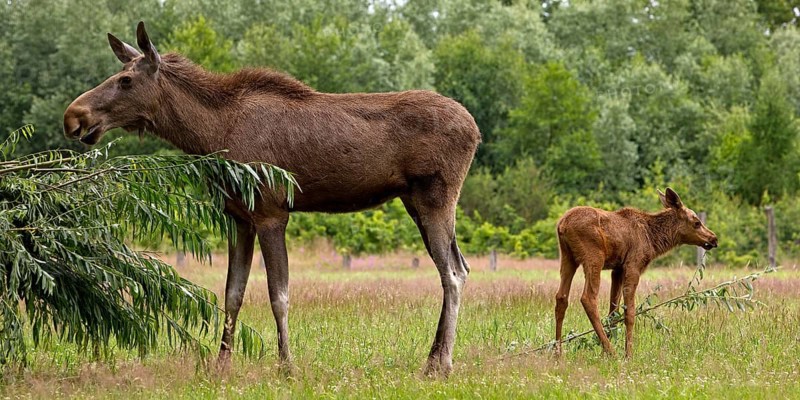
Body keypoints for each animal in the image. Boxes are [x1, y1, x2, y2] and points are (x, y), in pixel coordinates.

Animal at [63, 22, 480, 376]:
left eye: (126, 80)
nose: (73, 116)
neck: (210, 136)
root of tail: (475, 130)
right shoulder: (238, 217)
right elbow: (232, 293)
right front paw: (220, 365)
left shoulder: (271, 213)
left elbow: (278, 294)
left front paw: (286, 366)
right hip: (415, 201)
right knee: (460, 267)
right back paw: (433, 358)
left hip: (436, 197)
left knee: (452, 273)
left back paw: (441, 364)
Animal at [554, 188, 718, 357]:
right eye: (696, 222)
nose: (714, 238)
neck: (653, 240)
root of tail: (562, 225)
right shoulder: (633, 265)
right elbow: (629, 313)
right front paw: (628, 354)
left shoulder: (617, 269)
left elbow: (613, 312)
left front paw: (608, 349)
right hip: (594, 257)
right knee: (588, 298)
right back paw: (611, 352)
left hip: (567, 257)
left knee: (561, 297)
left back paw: (558, 352)